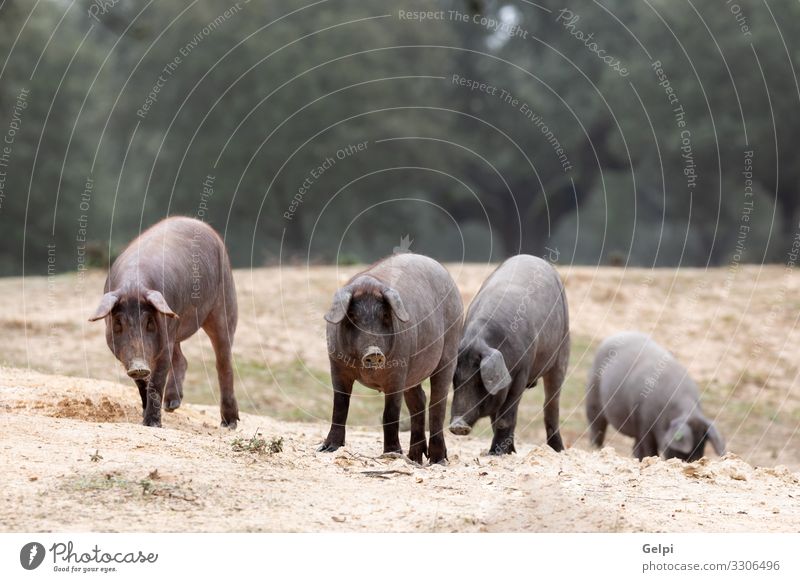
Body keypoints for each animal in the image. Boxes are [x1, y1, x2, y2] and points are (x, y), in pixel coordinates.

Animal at [89, 217, 238, 432]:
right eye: (118, 323)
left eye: (149, 322)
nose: (139, 366)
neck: (133, 285)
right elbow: (143, 384)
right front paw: (145, 416)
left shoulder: (163, 338)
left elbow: (157, 379)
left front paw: (152, 424)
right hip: (175, 324)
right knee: (182, 359)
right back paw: (171, 405)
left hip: (224, 302)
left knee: (223, 361)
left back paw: (229, 424)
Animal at [320, 256, 462, 466]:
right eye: (352, 316)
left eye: (385, 315)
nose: (374, 352)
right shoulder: (337, 366)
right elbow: (340, 405)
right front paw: (328, 448)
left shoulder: (397, 372)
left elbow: (390, 412)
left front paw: (392, 453)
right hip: (413, 372)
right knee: (419, 400)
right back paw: (414, 458)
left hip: (450, 350)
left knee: (438, 402)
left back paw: (437, 461)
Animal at [450, 256, 568, 456]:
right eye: (455, 380)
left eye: (479, 380)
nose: (457, 425)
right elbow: (496, 418)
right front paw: (505, 452)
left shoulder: (522, 371)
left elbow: (506, 418)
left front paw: (496, 454)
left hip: (563, 350)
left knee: (552, 404)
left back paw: (558, 450)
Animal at [584, 336, 728, 464]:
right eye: (680, 450)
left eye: (703, 445)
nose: (693, 461)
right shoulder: (643, 422)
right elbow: (650, 449)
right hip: (593, 394)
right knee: (597, 425)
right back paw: (595, 448)